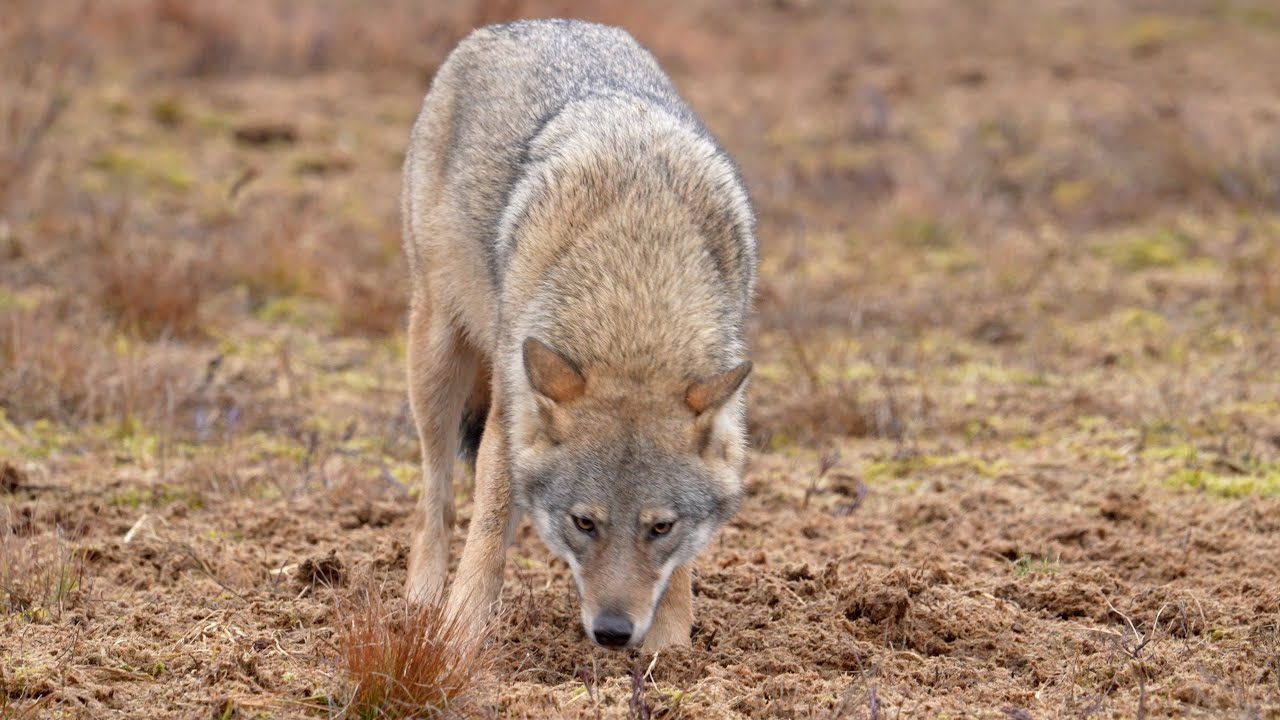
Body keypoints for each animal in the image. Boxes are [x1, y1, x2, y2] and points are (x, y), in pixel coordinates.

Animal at [400, 18, 757, 652]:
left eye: (660, 527)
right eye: (583, 522)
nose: (613, 633)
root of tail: (527, 24)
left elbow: (682, 568)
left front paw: (671, 650)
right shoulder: (509, 418)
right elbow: (487, 535)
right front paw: (460, 637)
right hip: (437, 363)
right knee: (436, 505)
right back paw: (420, 605)